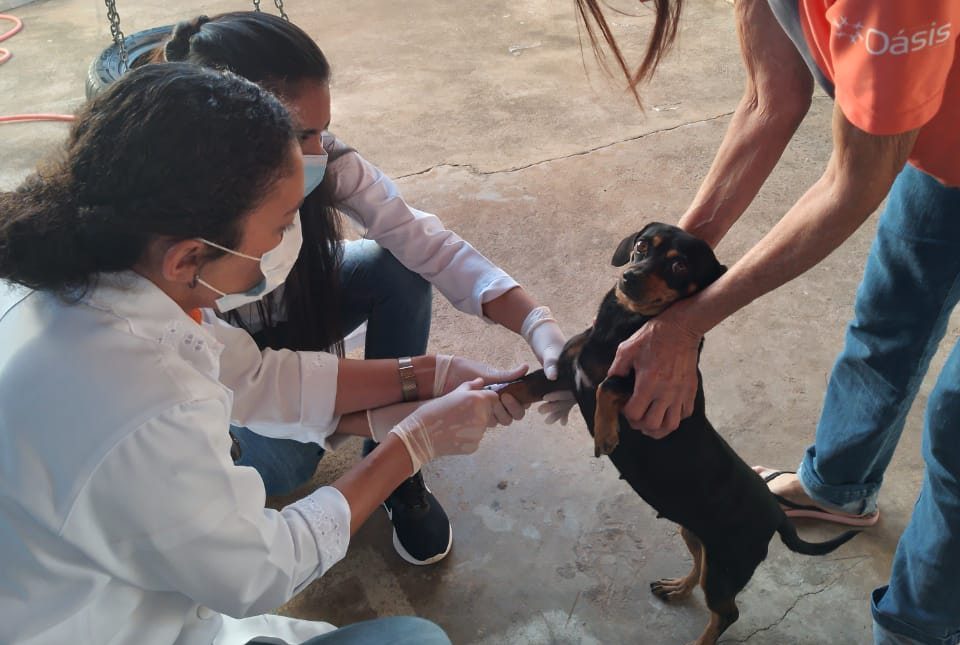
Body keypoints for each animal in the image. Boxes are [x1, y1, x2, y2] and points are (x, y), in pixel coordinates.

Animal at [498, 223, 860, 644]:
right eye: (642, 246)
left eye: (678, 265)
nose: (629, 277)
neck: (620, 327)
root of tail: (775, 512)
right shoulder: (565, 374)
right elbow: (523, 385)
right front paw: (487, 399)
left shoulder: (643, 384)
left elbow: (609, 385)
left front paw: (605, 433)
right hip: (695, 535)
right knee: (701, 565)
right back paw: (678, 588)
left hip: (729, 566)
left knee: (727, 612)